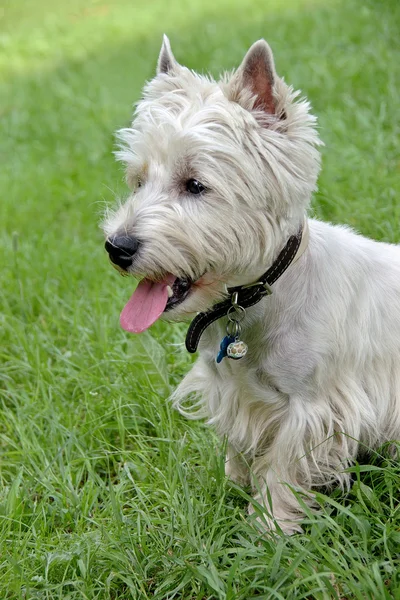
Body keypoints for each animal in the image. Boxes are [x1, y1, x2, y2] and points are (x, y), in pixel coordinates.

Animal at [104, 36, 400, 536]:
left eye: (195, 185)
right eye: (138, 181)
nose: (116, 246)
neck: (254, 301)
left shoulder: (312, 405)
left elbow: (283, 466)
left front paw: (269, 527)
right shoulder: (232, 390)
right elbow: (239, 444)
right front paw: (234, 484)